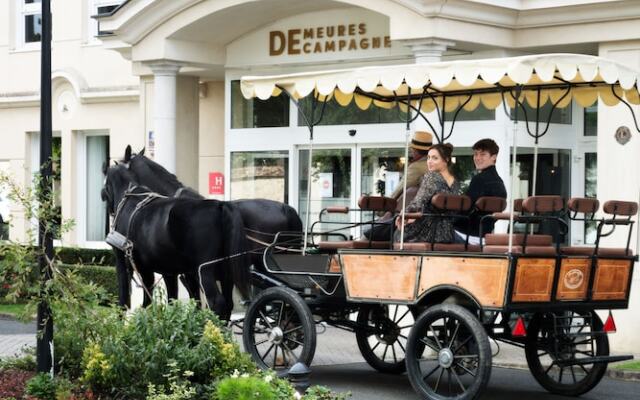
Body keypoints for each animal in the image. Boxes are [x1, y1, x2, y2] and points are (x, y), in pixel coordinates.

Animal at [101, 161, 249, 320]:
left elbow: (124, 300)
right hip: (225, 272)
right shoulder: (165, 271)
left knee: (217, 303)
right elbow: (166, 300)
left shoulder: (123, 262)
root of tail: (220, 205)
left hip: (204, 270)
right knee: (228, 304)